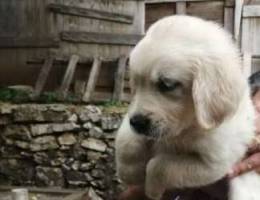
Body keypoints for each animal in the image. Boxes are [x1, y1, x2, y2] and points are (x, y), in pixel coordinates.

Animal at [116, 16, 260, 200]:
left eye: (167, 85)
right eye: (136, 84)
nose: (137, 122)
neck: (188, 127)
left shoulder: (213, 163)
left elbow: (160, 166)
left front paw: (152, 189)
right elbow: (126, 141)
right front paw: (130, 172)